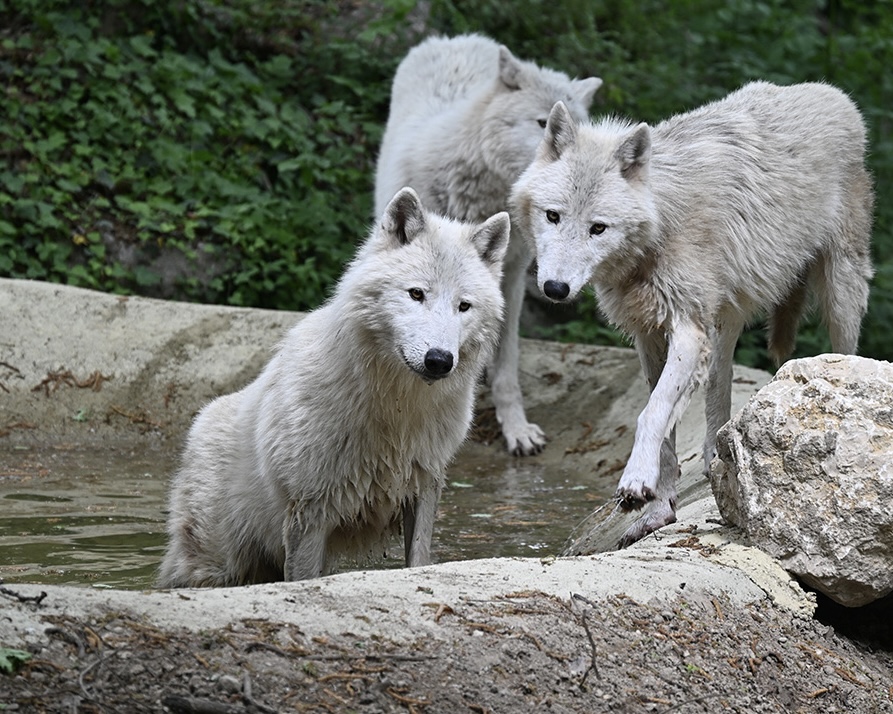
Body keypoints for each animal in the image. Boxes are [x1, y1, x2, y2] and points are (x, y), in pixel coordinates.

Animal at [159, 188, 508, 584]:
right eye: (416, 294)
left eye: (464, 306)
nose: (439, 359)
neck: (396, 411)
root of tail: (198, 423)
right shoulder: (309, 513)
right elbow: (301, 578)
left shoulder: (422, 489)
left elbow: (418, 561)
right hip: (214, 566)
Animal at [512, 79, 876, 544]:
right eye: (553, 216)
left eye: (598, 228)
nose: (555, 289)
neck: (658, 229)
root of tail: (833, 94)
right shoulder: (648, 333)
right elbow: (663, 424)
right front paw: (658, 510)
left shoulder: (686, 327)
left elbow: (651, 412)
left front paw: (634, 482)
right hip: (724, 321)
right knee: (719, 387)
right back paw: (715, 459)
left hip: (839, 291)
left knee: (845, 352)